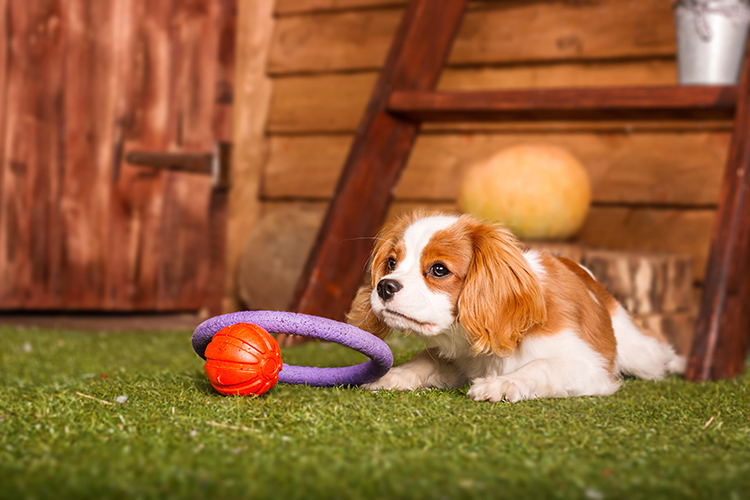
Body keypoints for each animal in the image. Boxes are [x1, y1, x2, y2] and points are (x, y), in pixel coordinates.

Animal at [352, 211, 688, 402]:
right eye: (391, 263)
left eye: (438, 270)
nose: (385, 286)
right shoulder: (458, 358)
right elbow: (425, 360)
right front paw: (391, 375)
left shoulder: (591, 367)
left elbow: (540, 365)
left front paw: (502, 384)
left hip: (639, 353)